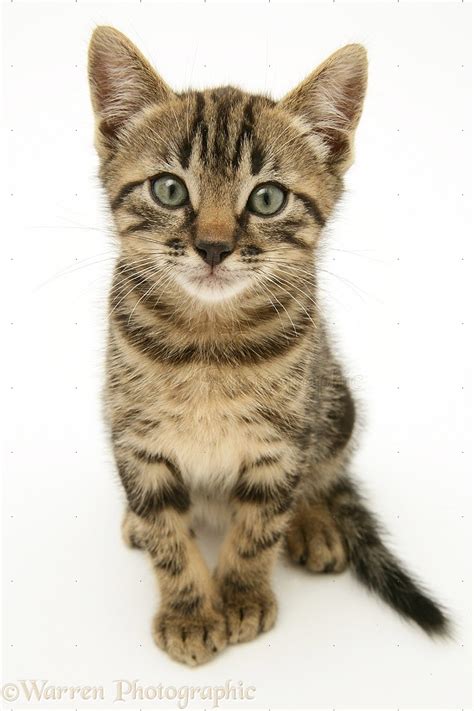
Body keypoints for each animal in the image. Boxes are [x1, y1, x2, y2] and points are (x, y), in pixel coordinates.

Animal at [88, 23, 448, 668]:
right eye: (169, 189)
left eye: (267, 199)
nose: (212, 247)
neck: (207, 343)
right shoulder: (135, 436)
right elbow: (168, 536)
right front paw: (189, 610)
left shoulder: (282, 441)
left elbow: (259, 526)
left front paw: (240, 598)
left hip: (335, 405)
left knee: (324, 474)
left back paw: (314, 524)